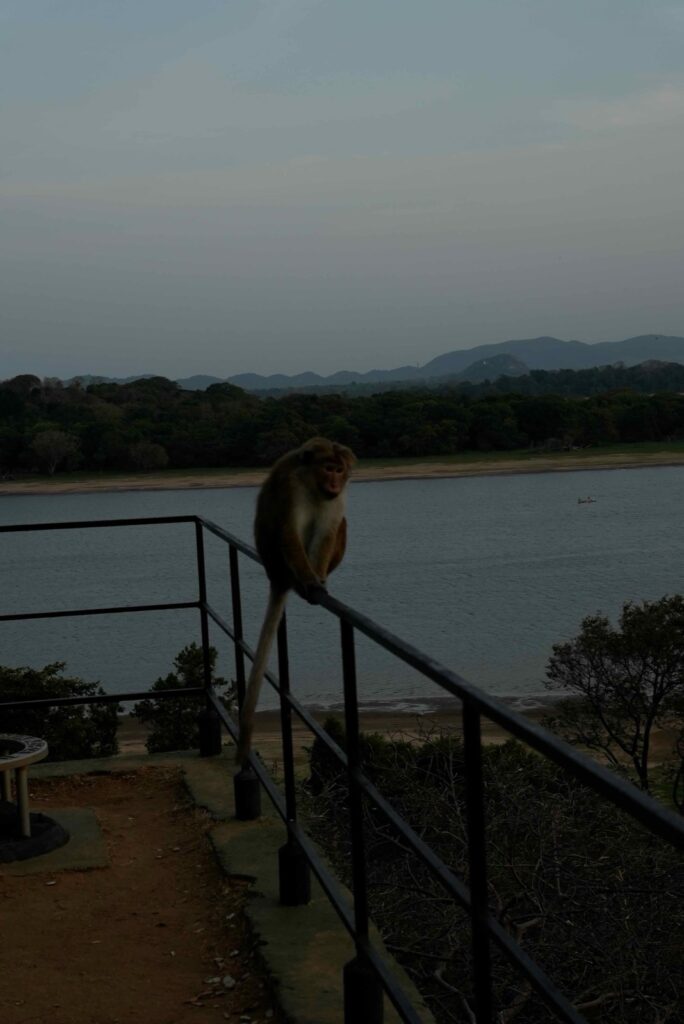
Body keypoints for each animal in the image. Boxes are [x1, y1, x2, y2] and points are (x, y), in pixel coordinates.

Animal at [235, 437, 355, 767]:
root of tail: (276, 576)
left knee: (339, 525)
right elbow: (288, 529)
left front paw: (318, 581)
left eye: (339, 470)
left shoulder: (334, 498)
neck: (312, 482)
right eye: (329, 469)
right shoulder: (292, 487)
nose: (335, 482)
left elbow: (328, 529)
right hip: (281, 564)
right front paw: (311, 583)